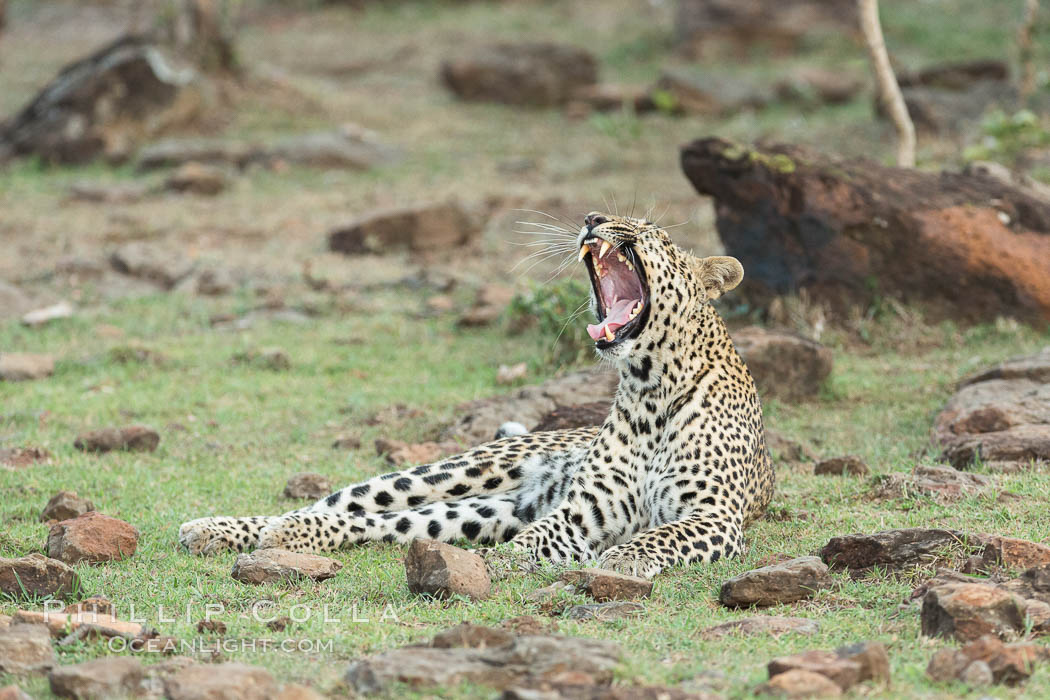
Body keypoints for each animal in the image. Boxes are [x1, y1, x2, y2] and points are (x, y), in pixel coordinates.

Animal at [178, 210, 772, 579]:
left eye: (653, 232)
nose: (591, 219)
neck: (649, 386)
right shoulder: (582, 509)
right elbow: (536, 540)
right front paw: (497, 569)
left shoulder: (713, 517)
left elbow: (655, 537)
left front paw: (620, 562)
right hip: (460, 471)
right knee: (344, 503)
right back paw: (224, 528)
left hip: (485, 511)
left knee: (386, 524)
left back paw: (278, 534)